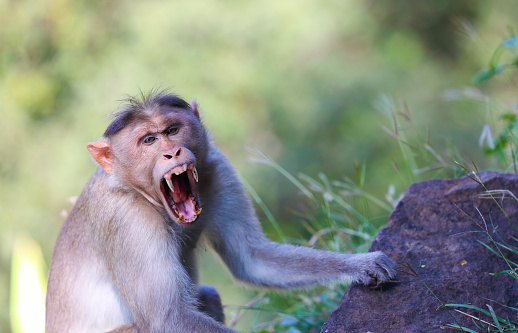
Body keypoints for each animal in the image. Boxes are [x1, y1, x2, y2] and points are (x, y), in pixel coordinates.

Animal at [45, 89, 398, 330]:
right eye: (148, 141)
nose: (172, 153)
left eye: (172, 130)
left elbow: (250, 258)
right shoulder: (124, 218)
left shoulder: (218, 168)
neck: (138, 192)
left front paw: (361, 264)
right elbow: (168, 318)